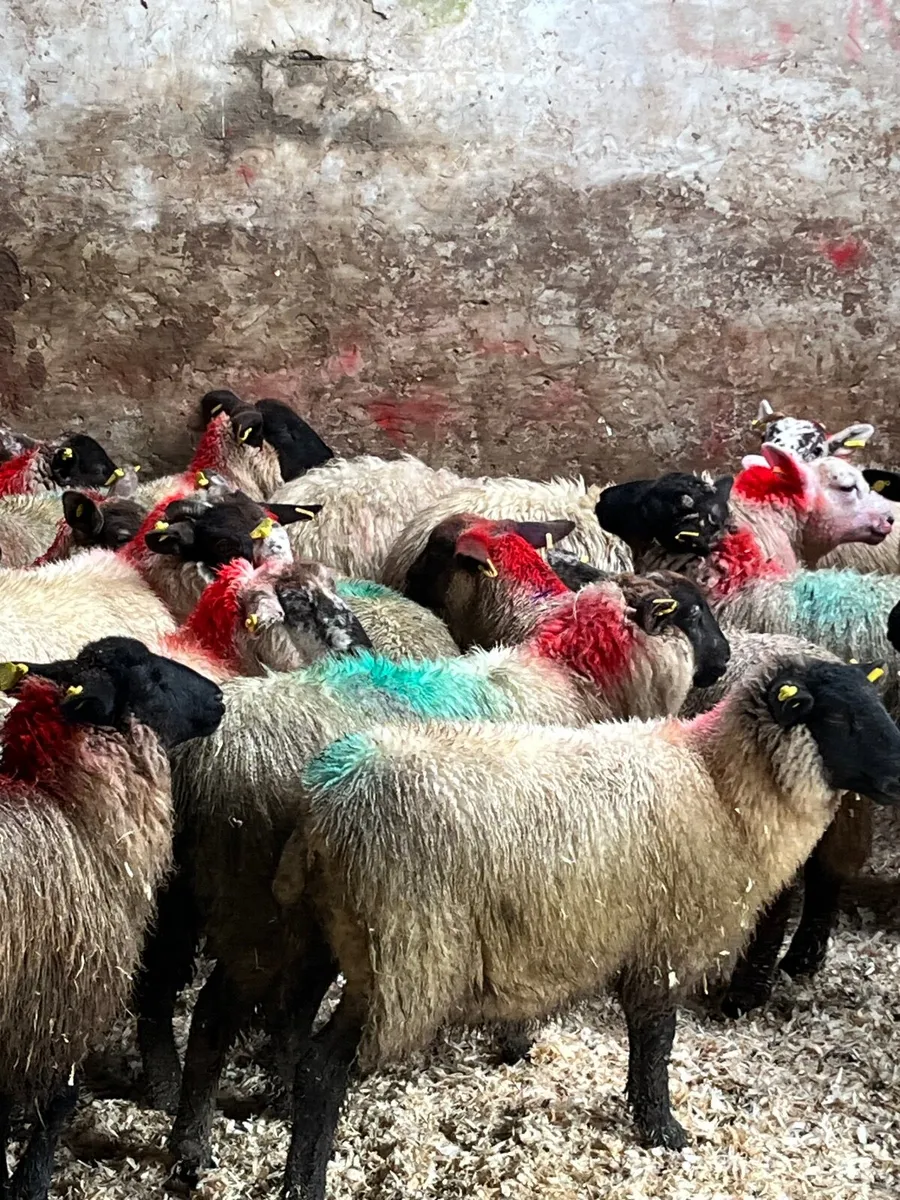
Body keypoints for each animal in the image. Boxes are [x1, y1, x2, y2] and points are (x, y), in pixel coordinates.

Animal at [0, 637, 223, 1200]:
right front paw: (31, 1184)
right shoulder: (61, 1007)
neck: (65, 810)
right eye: (152, 678)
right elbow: (58, 1104)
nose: (218, 696)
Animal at [281, 656, 900, 1200]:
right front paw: (663, 1130)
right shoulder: (664, 945)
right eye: (838, 718)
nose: (899, 777)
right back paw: (302, 1183)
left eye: (876, 704)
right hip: (404, 960)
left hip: (332, 940)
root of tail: (328, 801)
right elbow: (655, 1043)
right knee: (322, 1068)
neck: (719, 787)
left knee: (292, 1023)